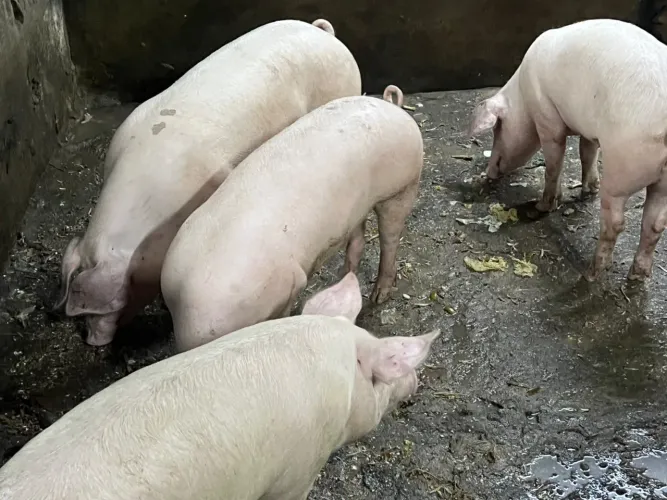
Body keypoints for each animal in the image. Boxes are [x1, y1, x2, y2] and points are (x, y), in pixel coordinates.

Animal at [161, 85, 424, 352]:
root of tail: (392, 106)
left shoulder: (290, 285)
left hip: (403, 186)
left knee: (390, 237)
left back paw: (379, 296)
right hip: (358, 206)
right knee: (358, 241)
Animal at [468, 18, 667, 281]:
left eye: (497, 128)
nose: (488, 173)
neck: (523, 97)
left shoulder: (546, 115)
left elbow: (554, 162)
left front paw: (543, 206)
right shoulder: (588, 129)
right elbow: (586, 152)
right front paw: (588, 191)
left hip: (623, 166)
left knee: (616, 222)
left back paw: (591, 273)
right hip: (664, 181)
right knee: (655, 224)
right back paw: (638, 275)